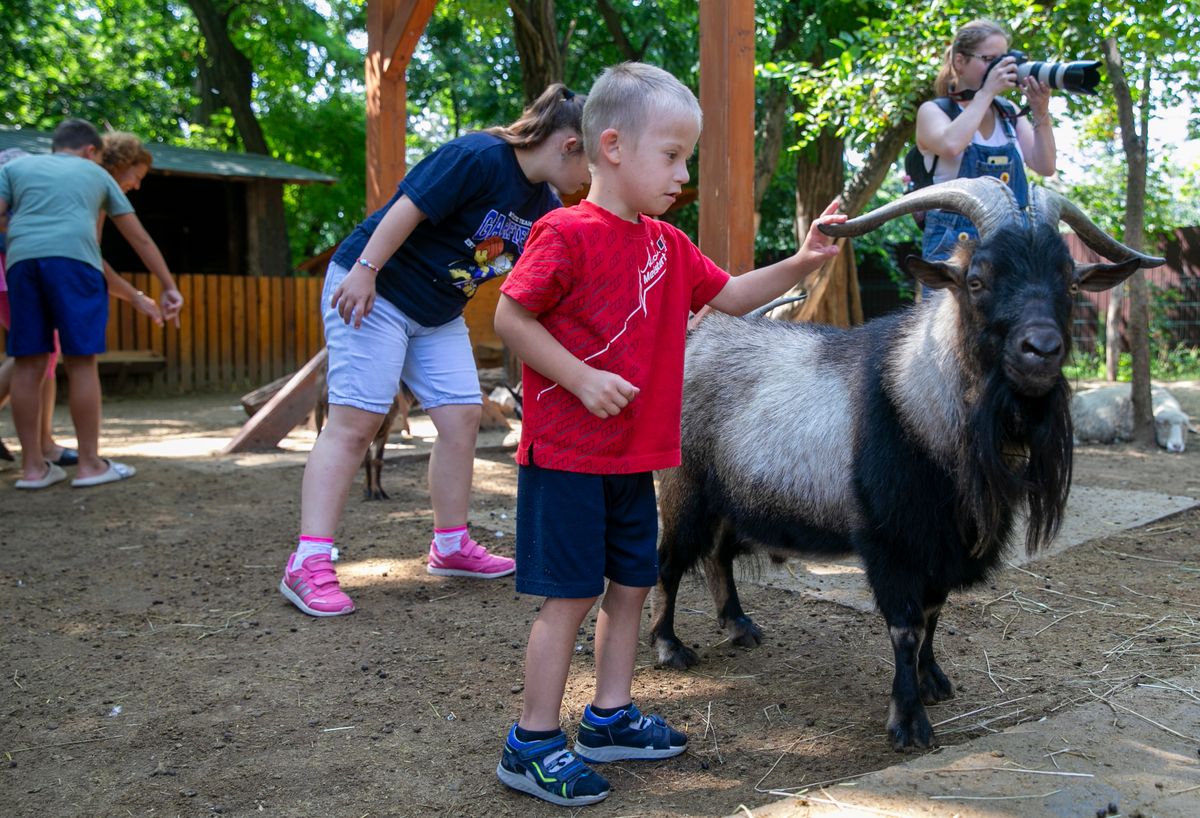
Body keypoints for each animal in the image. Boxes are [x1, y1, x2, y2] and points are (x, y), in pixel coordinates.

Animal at [652, 175, 1166, 748]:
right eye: (977, 280)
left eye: (1072, 283)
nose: (1042, 349)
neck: (918, 398)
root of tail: (701, 337)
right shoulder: (890, 538)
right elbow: (906, 625)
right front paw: (908, 721)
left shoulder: (944, 540)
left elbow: (934, 613)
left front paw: (933, 680)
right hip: (685, 487)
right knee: (670, 560)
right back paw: (669, 646)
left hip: (732, 498)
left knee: (718, 554)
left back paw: (740, 626)